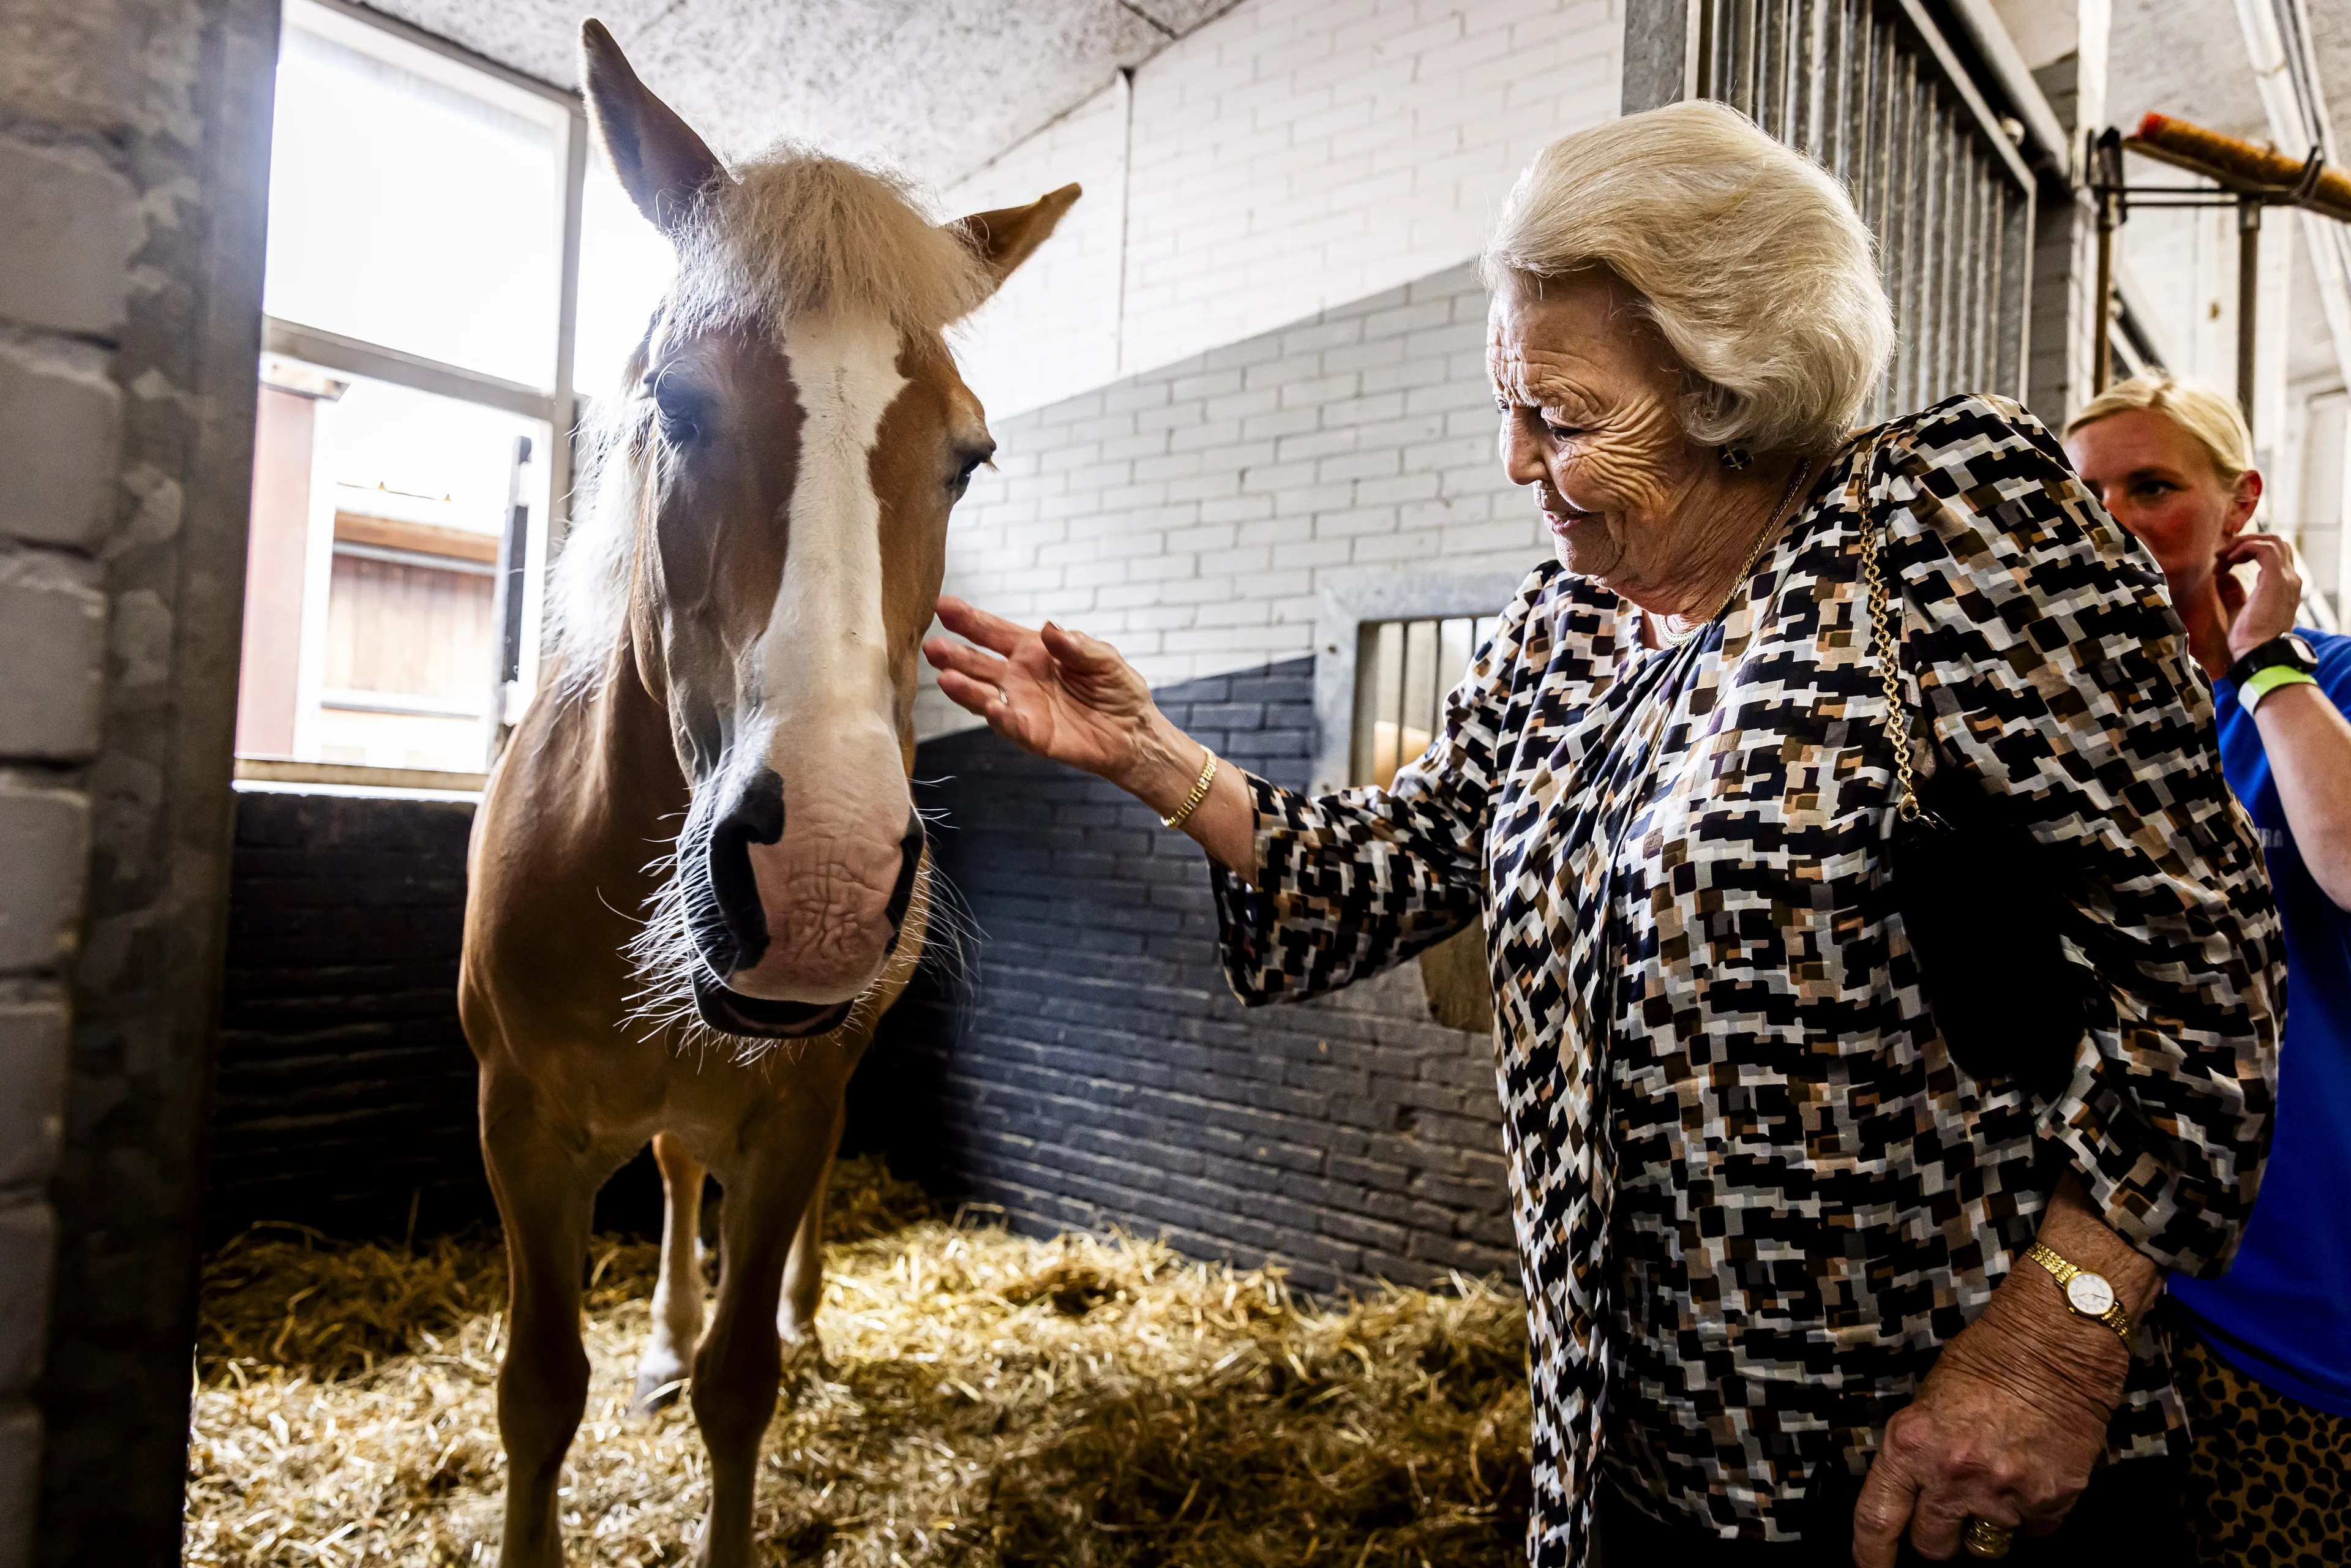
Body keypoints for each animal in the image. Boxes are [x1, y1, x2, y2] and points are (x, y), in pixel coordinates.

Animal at [457, 22, 1077, 1567]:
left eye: (969, 455)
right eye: (674, 401)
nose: (821, 878)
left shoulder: (791, 1104)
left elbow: (742, 1387)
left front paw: (755, 1350)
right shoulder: (519, 1123)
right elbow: (535, 1387)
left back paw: (794, 1315)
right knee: (683, 1180)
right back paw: (665, 1332)